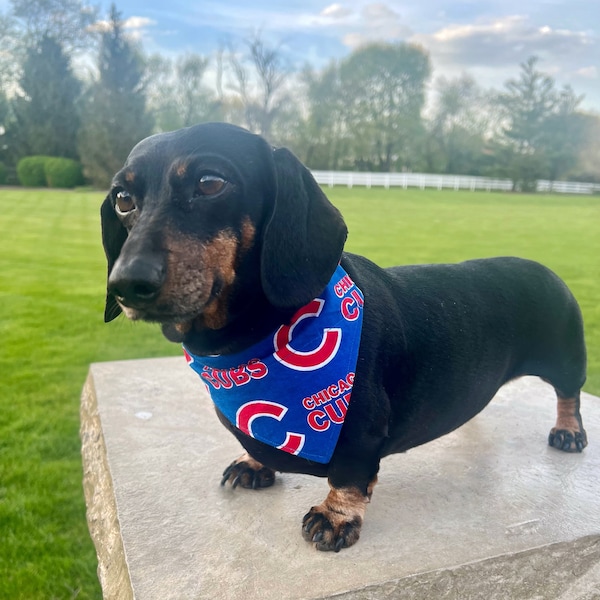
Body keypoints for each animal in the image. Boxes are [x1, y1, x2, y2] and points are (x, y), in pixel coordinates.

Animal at [102, 122, 584, 552]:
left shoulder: (360, 433)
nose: (126, 285)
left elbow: (349, 477)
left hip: (566, 358)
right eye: (123, 199)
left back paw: (568, 431)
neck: (255, 344)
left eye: (210, 182)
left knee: (569, 393)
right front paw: (252, 463)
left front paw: (335, 518)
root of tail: (544, 268)